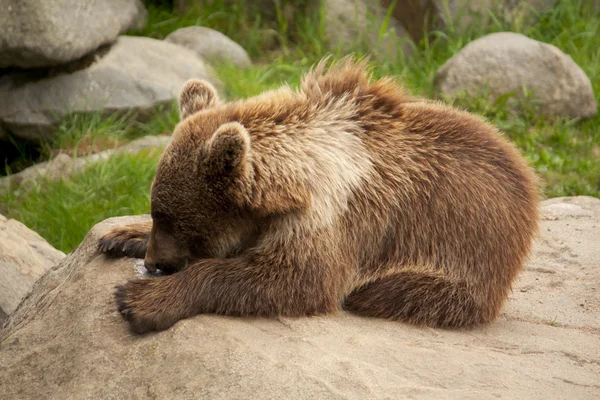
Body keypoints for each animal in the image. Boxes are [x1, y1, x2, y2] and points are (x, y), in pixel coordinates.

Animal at [98, 57, 540, 334]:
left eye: (174, 219)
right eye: (157, 211)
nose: (154, 262)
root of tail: (529, 187)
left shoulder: (338, 215)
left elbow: (295, 279)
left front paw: (141, 299)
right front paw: (120, 235)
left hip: (462, 261)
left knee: (391, 291)